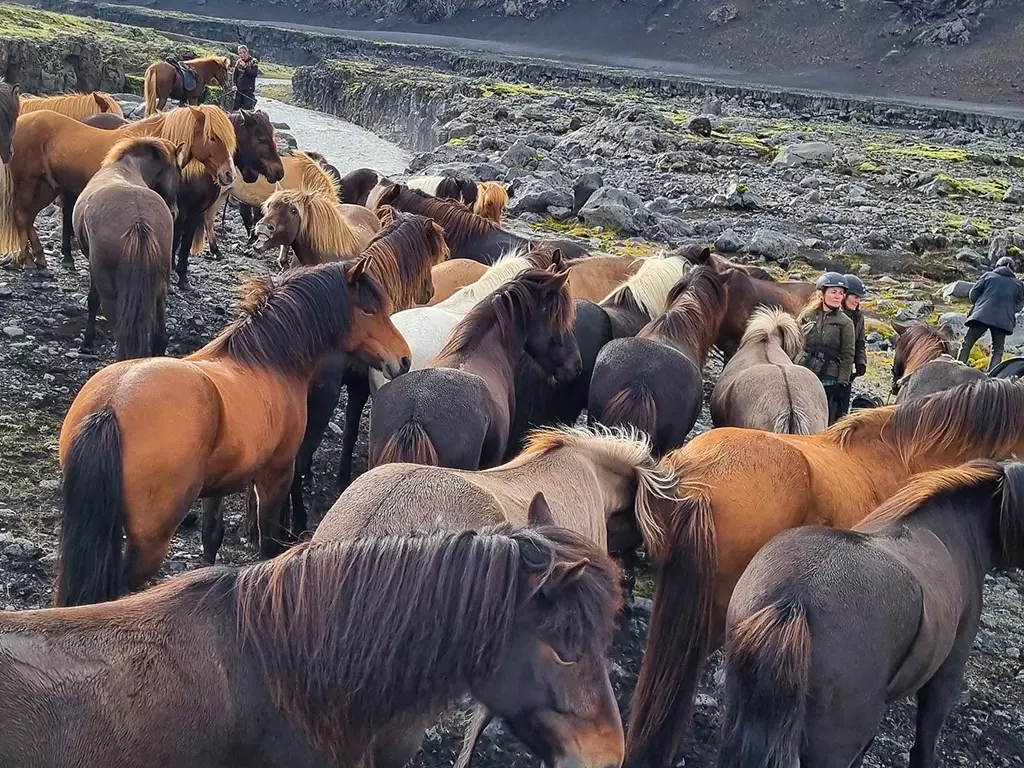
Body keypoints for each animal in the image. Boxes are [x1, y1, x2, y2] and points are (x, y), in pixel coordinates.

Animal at [0, 106, 234, 269]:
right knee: (22, 216)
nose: (229, 174)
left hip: (46, 187)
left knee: (28, 218)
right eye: (212, 137)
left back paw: (39, 258)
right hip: (28, 183)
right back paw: (28, 260)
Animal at [55, 257, 411, 606]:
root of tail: (111, 403)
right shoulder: (276, 475)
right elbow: (268, 541)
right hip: (150, 541)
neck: (269, 361)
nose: (404, 359)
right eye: (369, 309)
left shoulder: (218, 485)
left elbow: (212, 536)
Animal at [73, 137, 184, 360]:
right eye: (179, 169)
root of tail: (138, 219)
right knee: (160, 337)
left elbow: (92, 301)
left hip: (111, 292)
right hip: (159, 291)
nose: (175, 211)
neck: (126, 168)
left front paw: (87, 342)